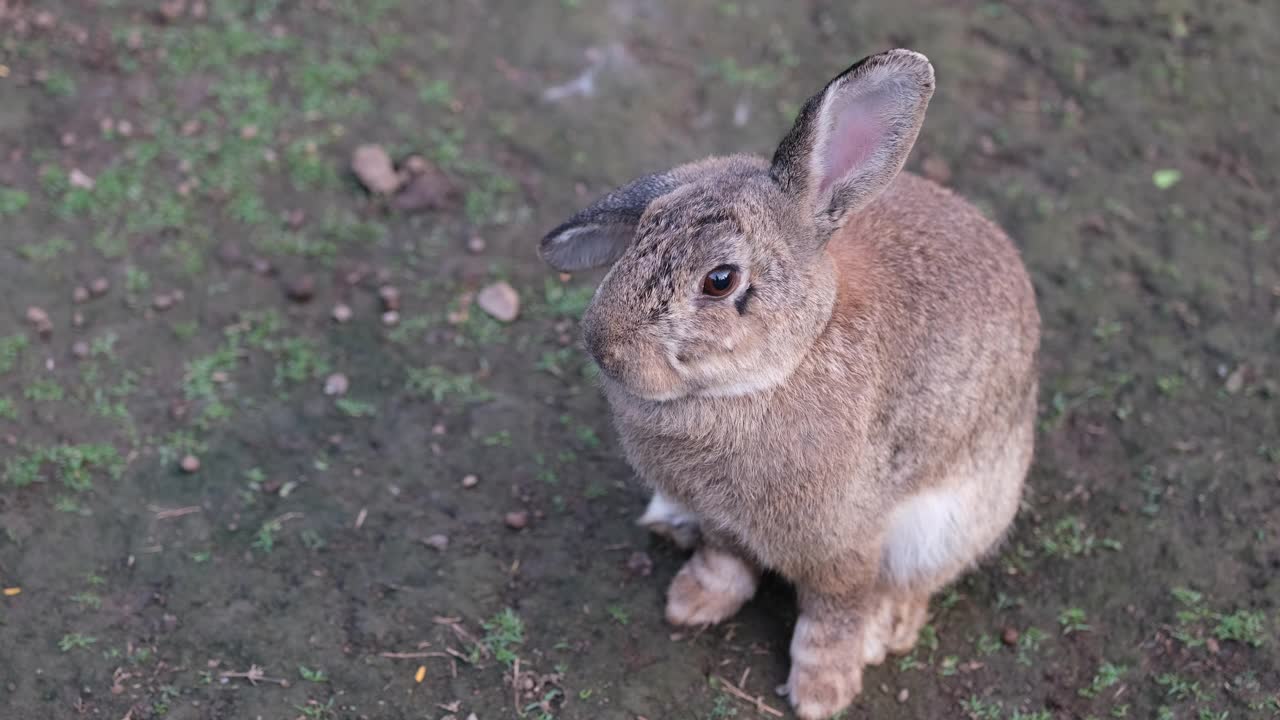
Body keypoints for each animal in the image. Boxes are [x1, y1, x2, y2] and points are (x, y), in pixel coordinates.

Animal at [540, 50, 1039, 717]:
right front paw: (693, 602)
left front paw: (821, 692)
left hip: (955, 519)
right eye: (642, 229)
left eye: (720, 280)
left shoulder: (844, 542)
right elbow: (723, 559)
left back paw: (884, 630)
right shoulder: (724, 523)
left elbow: (832, 613)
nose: (605, 347)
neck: (779, 370)